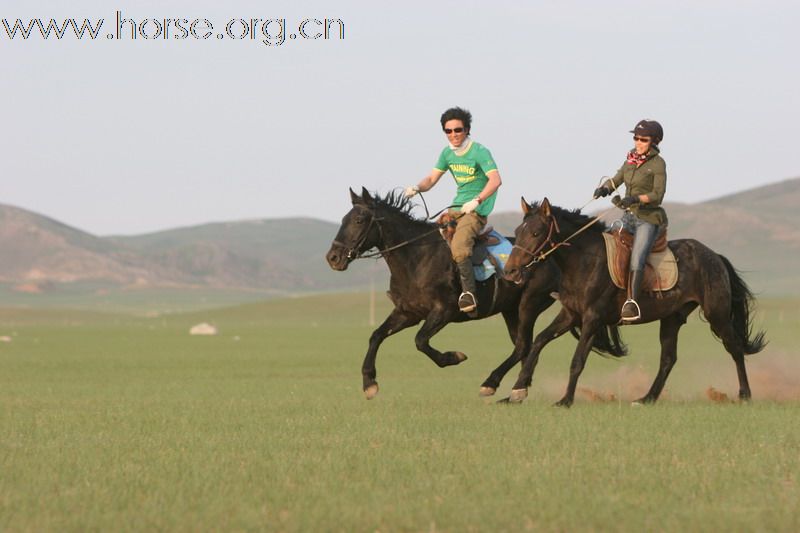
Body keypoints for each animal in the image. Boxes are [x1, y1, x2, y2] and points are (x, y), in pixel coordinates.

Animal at [324, 189, 624, 396]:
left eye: (360, 219)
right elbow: (376, 336)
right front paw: (369, 382)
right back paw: (518, 387)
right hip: (510, 310)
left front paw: (453, 357)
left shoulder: (443, 311)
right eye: (344, 218)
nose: (333, 257)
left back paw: (494, 383)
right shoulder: (407, 312)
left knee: (523, 345)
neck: (416, 256)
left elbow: (420, 341)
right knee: (524, 347)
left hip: (528, 304)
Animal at [504, 197, 764, 406]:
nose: (510, 271)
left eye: (536, 233)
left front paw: (565, 400)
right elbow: (538, 341)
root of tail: (714, 256)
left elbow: (577, 360)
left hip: (716, 314)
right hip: (672, 318)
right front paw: (517, 390)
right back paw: (647, 398)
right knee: (668, 359)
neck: (585, 260)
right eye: (518, 231)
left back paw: (745, 394)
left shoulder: (592, 318)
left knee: (734, 347)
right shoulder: (570, 314)